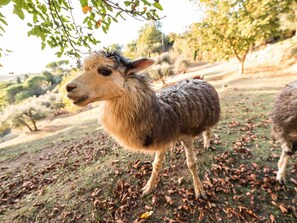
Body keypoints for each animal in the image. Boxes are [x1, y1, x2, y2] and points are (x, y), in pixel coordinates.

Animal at [66, 51, 220, 198]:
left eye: (104, 70)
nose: (69, 87)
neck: (163, 112)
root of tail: (197, 78)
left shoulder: (185, 135)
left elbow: (191, 164)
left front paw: (199, 189)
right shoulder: (163, 138)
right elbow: (156, 165)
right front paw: (148, 188)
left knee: (207, 130)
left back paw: (207, 143)